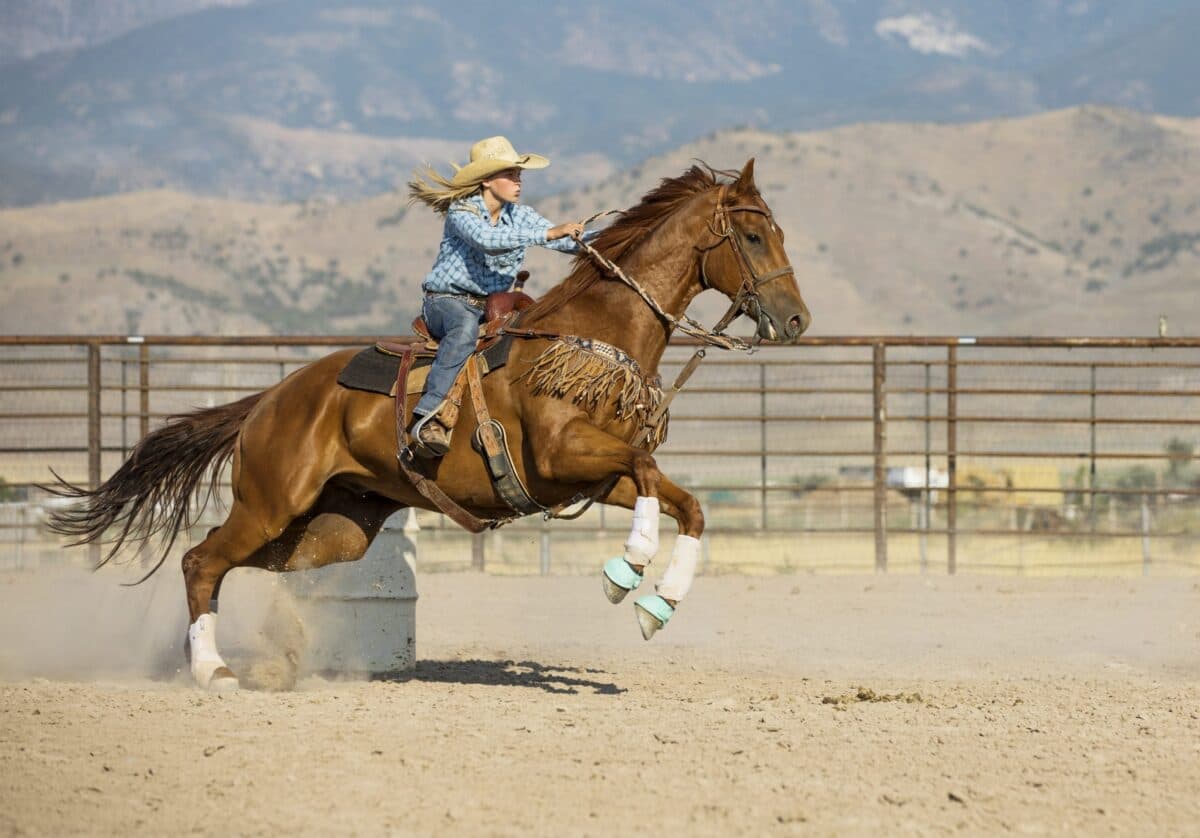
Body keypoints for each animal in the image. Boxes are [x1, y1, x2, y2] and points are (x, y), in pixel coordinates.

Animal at [48, 159, 811, 691]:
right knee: (200, 560)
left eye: (778, 231)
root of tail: (268, 400)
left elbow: (689, 504)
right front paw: (625, 571)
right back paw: (213, 672)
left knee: (227, 564)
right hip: (270, 502)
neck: (593, 334)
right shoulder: (564, 458)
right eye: (751, 234)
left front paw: (659, 604)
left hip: (331, 530)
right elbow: (652, 473)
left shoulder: (596, 476)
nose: (798, 320)